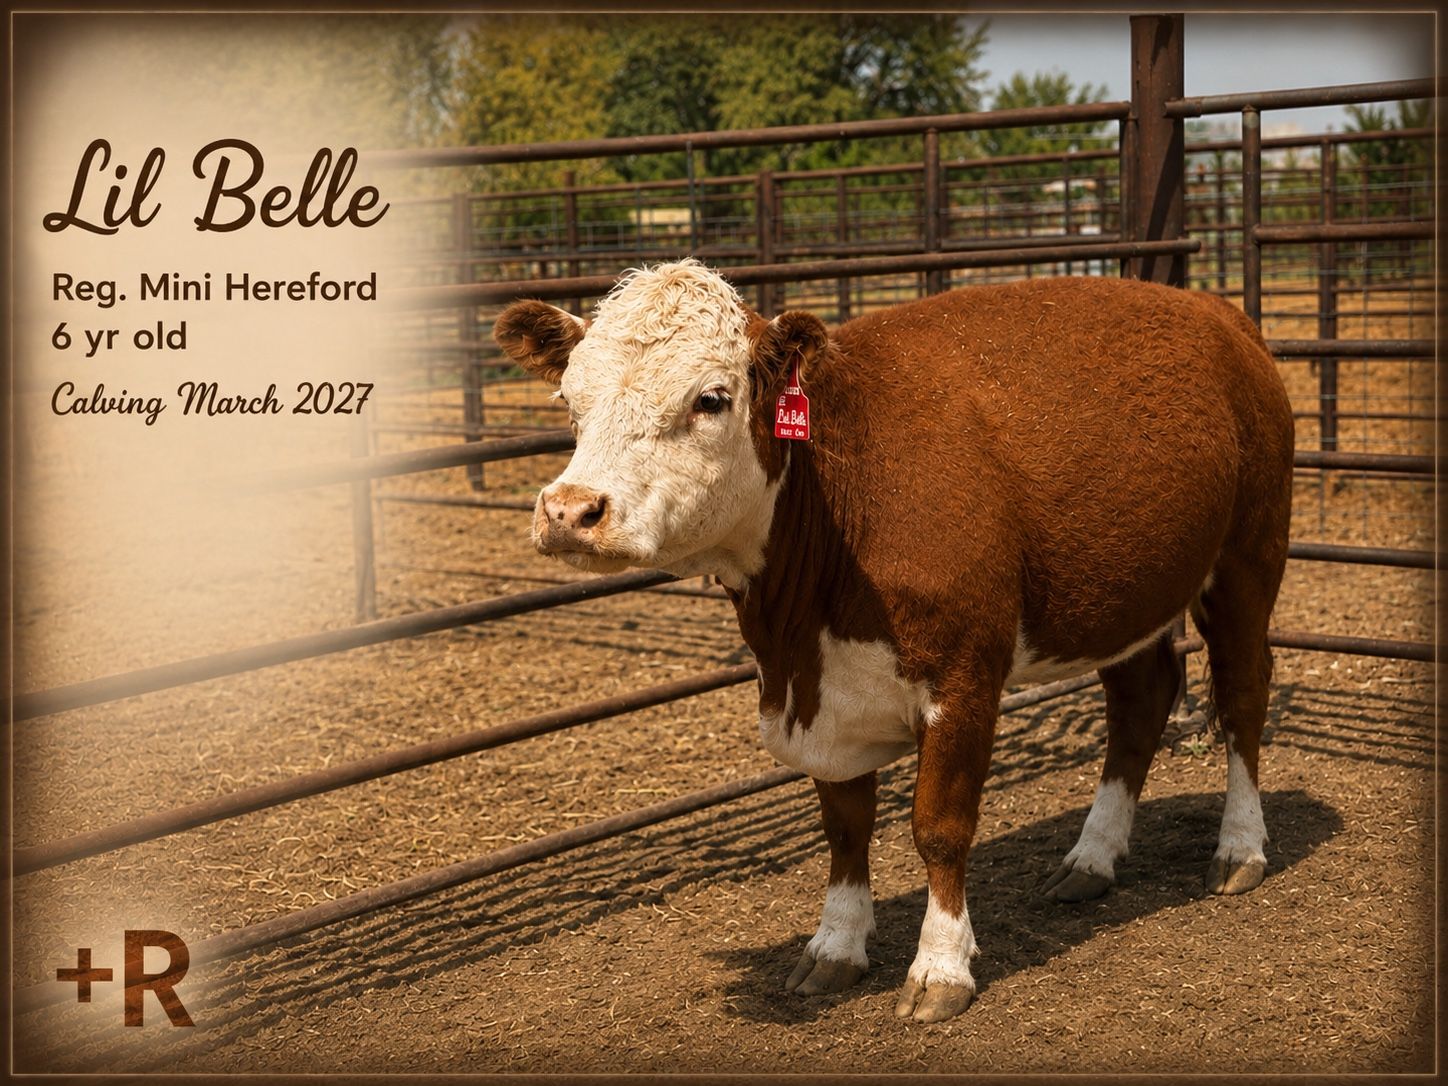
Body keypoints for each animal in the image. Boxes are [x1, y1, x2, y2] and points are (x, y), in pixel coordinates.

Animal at [493, 260, 1294, 1024]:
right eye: (570, 400)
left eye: (710, 399)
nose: (569, 511)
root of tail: (1217, 312)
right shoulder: (824, 699)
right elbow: (845, 830)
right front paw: (835, 946)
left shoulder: (964, 678)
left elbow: (939, 827)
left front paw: (940, 967)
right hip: (1130, 594)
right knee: (1140, 702)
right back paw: (1092, 859)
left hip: (1248, 558)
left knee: (1243, 696)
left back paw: (1239, 848)